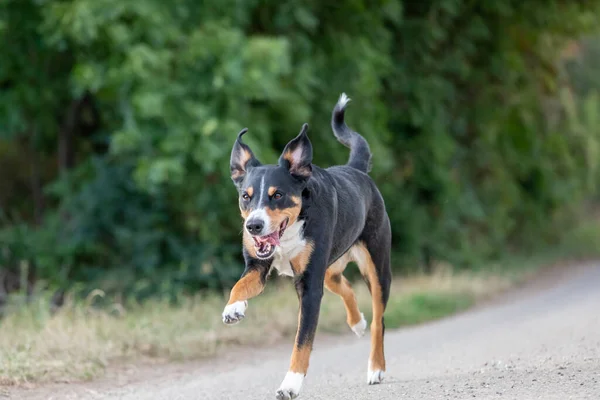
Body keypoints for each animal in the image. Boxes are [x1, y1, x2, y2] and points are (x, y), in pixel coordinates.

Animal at [223, 94, 392, 400]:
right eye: (245, 196)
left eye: (277, 194)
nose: (253, 226)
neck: (291, 232)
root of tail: (356, 170)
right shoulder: (258, 265)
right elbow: (240, 285)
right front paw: (234, 309)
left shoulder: (310, 286)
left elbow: (302, 340)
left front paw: (290, 384)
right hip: (330, 268)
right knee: (344, 285)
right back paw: (356, 323)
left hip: (377, 268)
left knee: (378, 320)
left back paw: (376, 368)